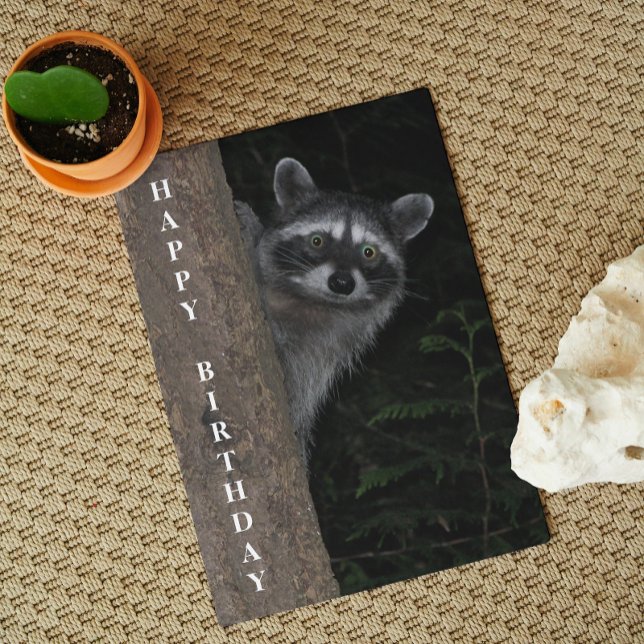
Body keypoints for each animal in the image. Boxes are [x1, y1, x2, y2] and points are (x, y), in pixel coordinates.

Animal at [235, 158, 434, 469]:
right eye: (317, 241)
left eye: (368, 252)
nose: (342, 283)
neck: (314, 301)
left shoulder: (319, 352)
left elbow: (292, 379)